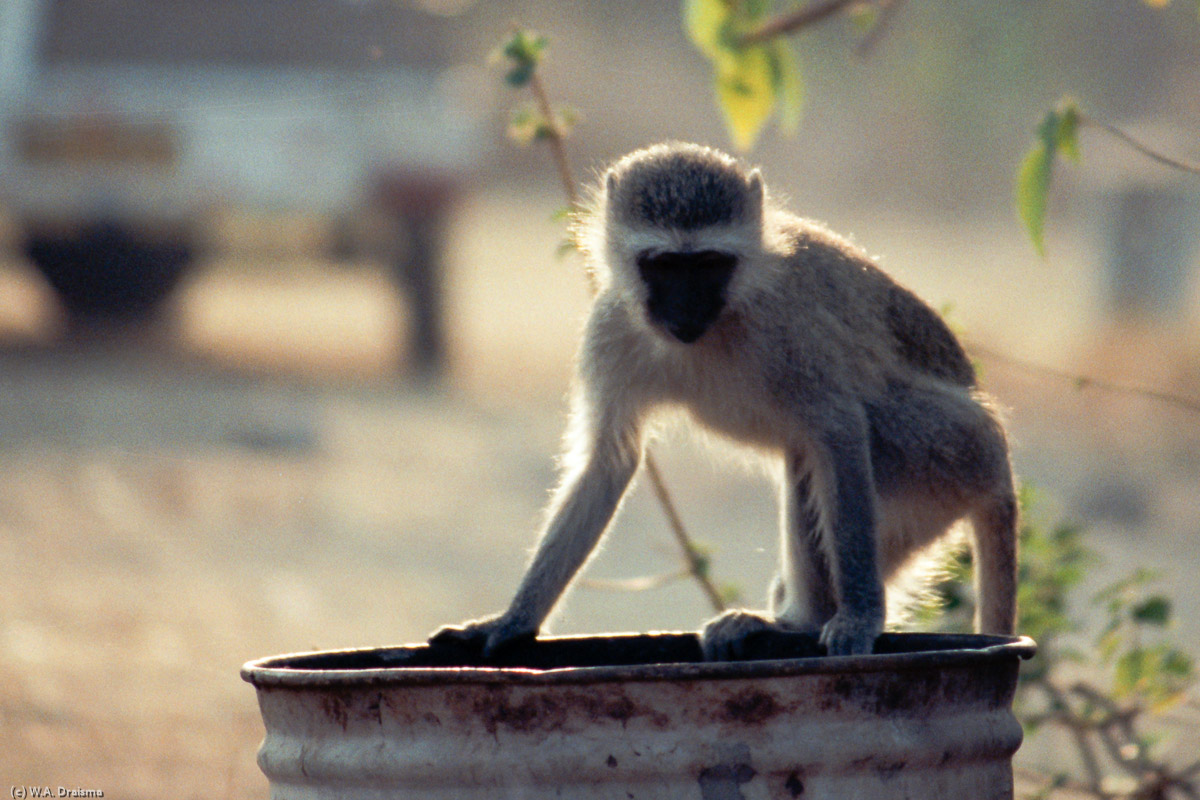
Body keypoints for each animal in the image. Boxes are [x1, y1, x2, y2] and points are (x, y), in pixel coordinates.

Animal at [432, 140, 1012, 662]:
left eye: (708, 264)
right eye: (665, 266)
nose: (686, 311)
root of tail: (999, 466)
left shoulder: (787, 329)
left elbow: (841, 429)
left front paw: (861, 617)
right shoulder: (611, 328)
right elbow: (608, 462)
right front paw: (512, 621)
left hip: (949, 452)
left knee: (834, 448)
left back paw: (806, 623)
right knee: (804, 462)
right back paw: (797, 623)